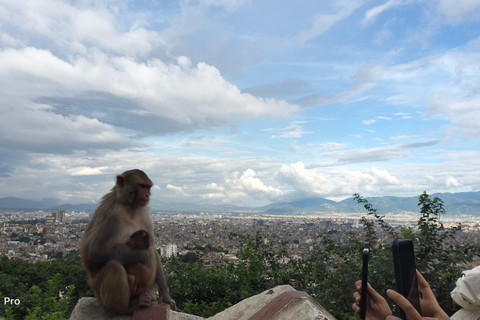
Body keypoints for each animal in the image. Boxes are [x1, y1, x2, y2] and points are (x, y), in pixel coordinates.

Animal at [80, 169, 176, 314]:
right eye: (142, 186)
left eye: (148, 187)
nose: (147, 195)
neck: (130, 207)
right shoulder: (110, 215)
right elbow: (95, 252)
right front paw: (144, 254)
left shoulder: (144, 214)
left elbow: (153, 249)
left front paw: (165, 296)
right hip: (101, 295)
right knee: (114, 266)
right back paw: (127, 307)